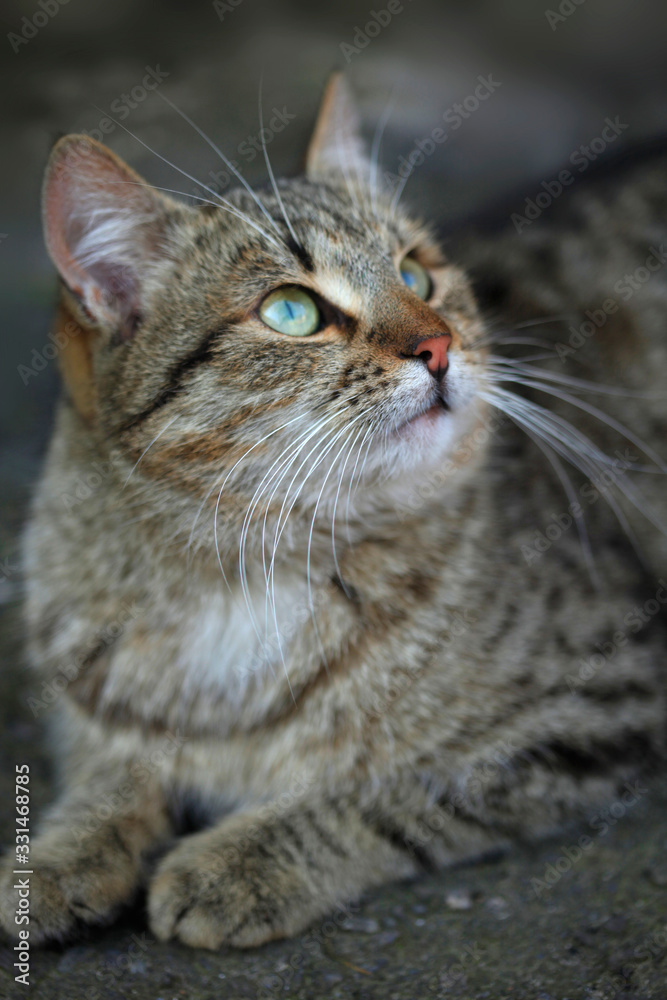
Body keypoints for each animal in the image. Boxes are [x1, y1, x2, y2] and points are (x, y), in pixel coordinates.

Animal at [1, 74, 667, 948]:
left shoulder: (599, 700)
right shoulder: (94, 710)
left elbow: (388, 789)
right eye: (291, 311)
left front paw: (240, 860)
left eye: (415, 275)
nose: (440, 345)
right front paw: (54, 858)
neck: (237, 570)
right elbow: (107, 780)